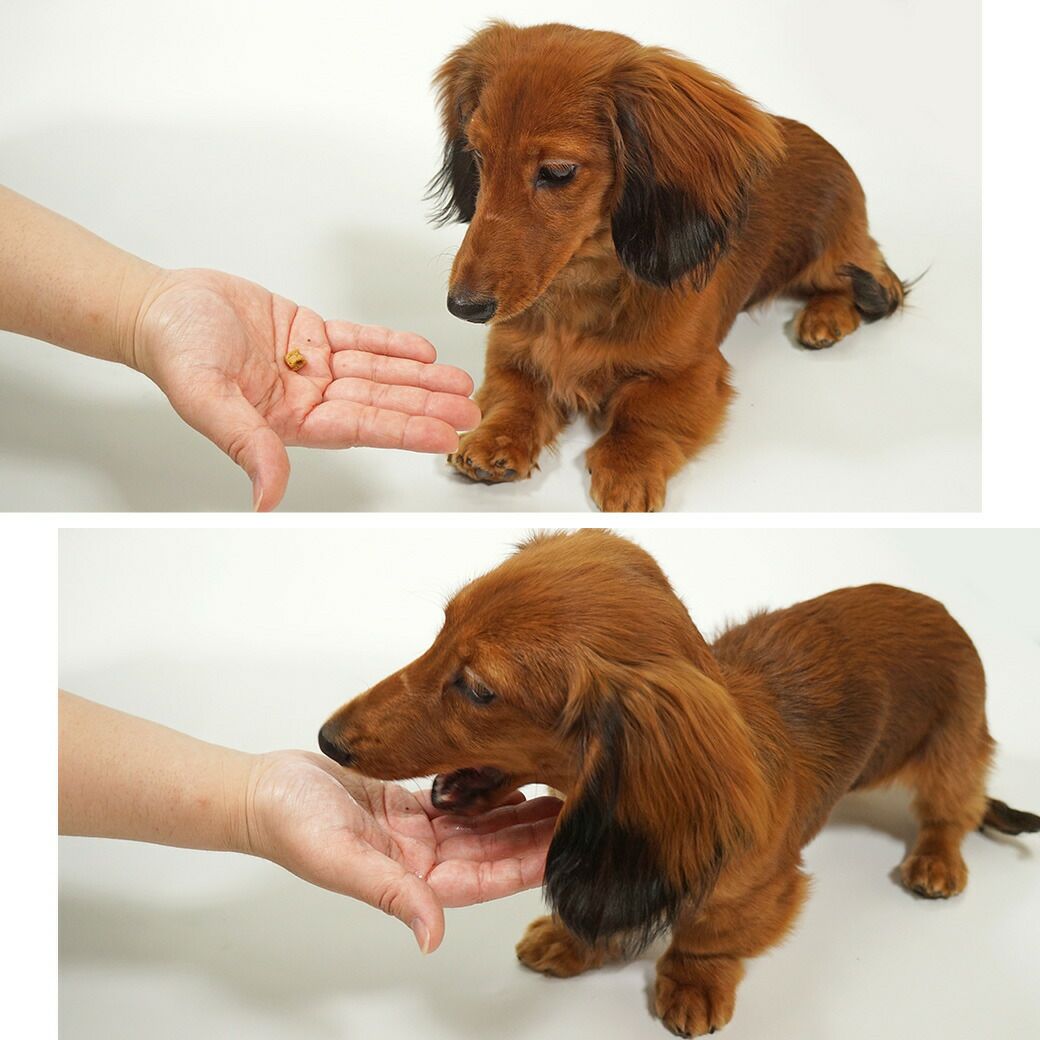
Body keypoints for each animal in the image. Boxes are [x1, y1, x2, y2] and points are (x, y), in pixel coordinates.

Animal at [319, 530, 1038, 1036]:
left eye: (477, 689)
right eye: (441, 629)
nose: (327, 741)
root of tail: (938, 607)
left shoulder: (760, 885)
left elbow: (708, 935)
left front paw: (693, 986)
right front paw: (570, 941)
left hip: (951, 750)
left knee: (954, 811)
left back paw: (936, 861)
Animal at [431, 22, 908, 511]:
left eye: (558, 171)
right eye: (479, 156)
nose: (463, 307)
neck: (579, 292)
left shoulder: (691, 370)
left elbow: (643, 414)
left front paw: (628, 468)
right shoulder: (510, 349)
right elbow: (514, 393)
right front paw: (494, 439)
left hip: (830, 254)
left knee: (869, 280)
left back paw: (824, 317)